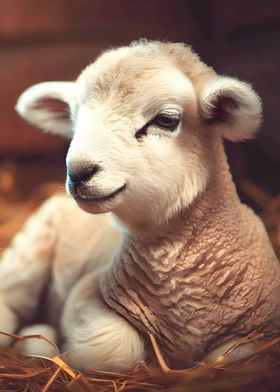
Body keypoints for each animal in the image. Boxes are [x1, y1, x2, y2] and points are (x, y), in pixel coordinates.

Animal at [0, 39, 280, 370]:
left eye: (166, 120)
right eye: (74, 121)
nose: (77, 172)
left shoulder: (257, 334)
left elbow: (234, 356)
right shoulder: (85, 294)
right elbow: (117, 347)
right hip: (31, 249)